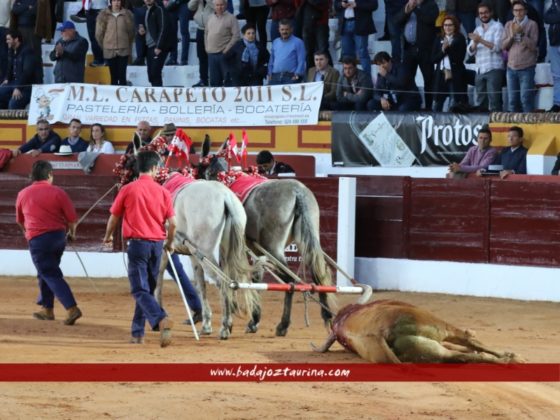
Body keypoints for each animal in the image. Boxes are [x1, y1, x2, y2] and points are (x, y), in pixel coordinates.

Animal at [312, 298, 524, 364]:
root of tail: (382, 331)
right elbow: (471, 343)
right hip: (437, 325)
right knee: (465, 341)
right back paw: (511, 359)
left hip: (427, 351)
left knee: (460, 356)